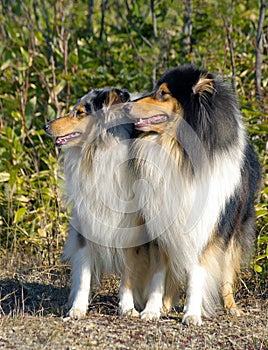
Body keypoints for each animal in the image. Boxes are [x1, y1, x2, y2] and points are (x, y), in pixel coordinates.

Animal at [43, 88, 174, 320]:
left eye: (79, 112)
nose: (46, 126)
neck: (98, 151)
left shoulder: (132, 232)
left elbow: (128, 273)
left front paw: (127, 308)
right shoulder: (87, 225)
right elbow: (84, 274)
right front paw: (77, 309)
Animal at [126, 63, 260, 326]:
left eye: (163, 94)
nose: (126, 106)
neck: (179, 152)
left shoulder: (206, 227)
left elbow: (197, 273)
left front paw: (192, 314)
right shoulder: (160, 224)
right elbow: (159, 272)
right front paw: (151, 310)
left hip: (234, 229)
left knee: (226, 271)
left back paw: (232, 307)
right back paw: (166, 305)